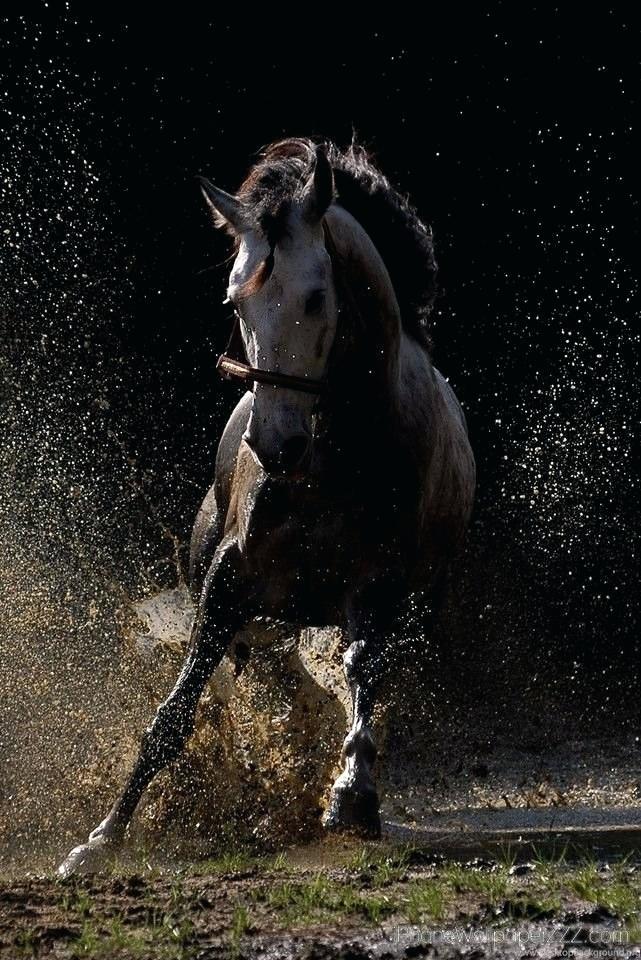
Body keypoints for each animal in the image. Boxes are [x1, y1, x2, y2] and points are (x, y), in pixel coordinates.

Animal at [58, 138, 475, 877]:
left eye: (315, 296)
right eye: (236, 301)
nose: (275, 443)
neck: (335, 454)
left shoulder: (379, 584)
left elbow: (361, 671)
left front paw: (351, 796)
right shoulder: (230, 576)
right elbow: (177, 709)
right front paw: (102, 838)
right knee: (270, 676)